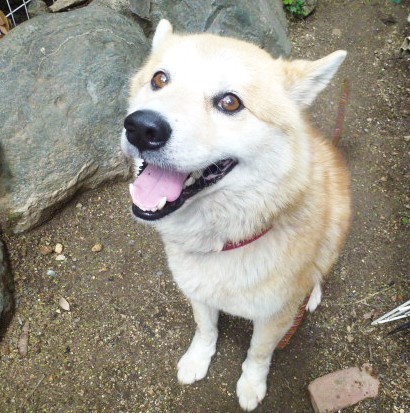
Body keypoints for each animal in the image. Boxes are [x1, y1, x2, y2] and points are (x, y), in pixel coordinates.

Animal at [121, 20, 351, 411]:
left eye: (230, 102)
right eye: (159, 79)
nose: (141, 127)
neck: (225, 240)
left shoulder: (274, 317)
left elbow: (258, 353)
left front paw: (251, 384)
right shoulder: (198, 293)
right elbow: (205, 328)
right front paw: (198, 359)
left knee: (320, 270)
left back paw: (313, 292)